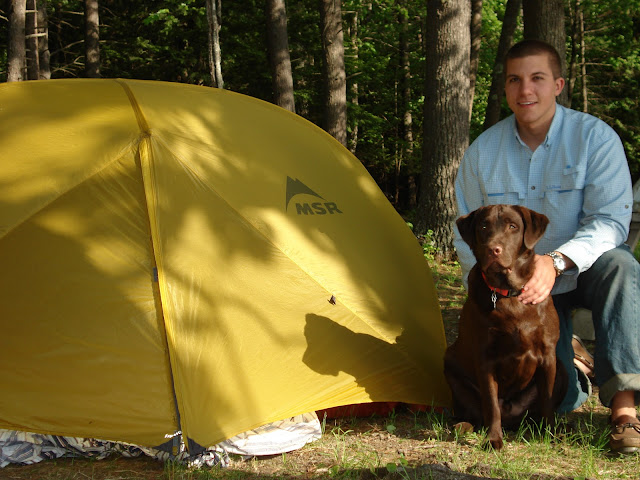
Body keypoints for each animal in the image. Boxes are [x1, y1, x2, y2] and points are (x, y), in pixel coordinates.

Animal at [444, 204, 567, 450]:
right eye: (483, 226)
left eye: (513, 226)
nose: (493, 250)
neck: (509, 293)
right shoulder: (485, 358)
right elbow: (491, 406)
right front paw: (493, 439)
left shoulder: (548, 355)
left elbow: (547, 401)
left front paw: (551, 433)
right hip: (450, 363)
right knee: (476, 412)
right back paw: (464, 426)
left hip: (563, 371)